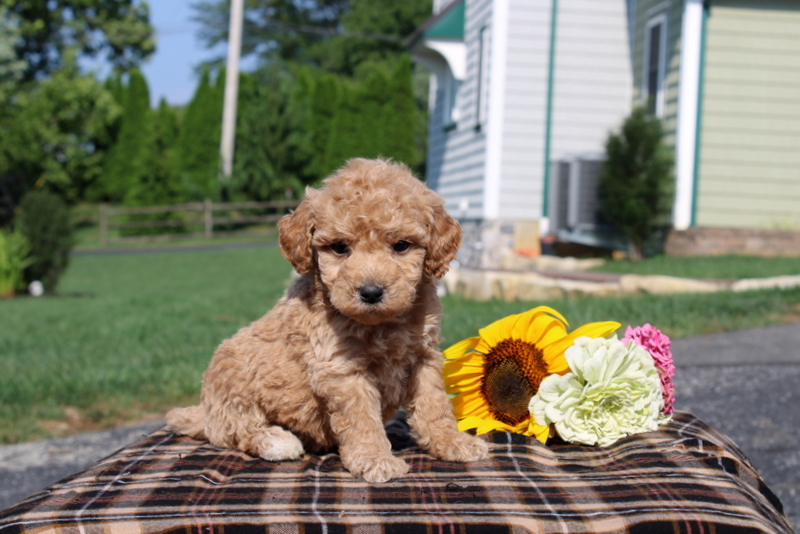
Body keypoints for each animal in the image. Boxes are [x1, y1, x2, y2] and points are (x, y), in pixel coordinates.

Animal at [169, 158, 488, 482]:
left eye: (401, 245)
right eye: (339, 247)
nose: (370, 292)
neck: (381, 324)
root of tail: (205, 410)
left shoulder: (424, 356)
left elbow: (434, 403)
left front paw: (452, 441)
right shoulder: (341, 368)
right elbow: (362, 418)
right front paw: (375, 458)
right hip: (231, 375)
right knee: (234, 429)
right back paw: (276, 441)